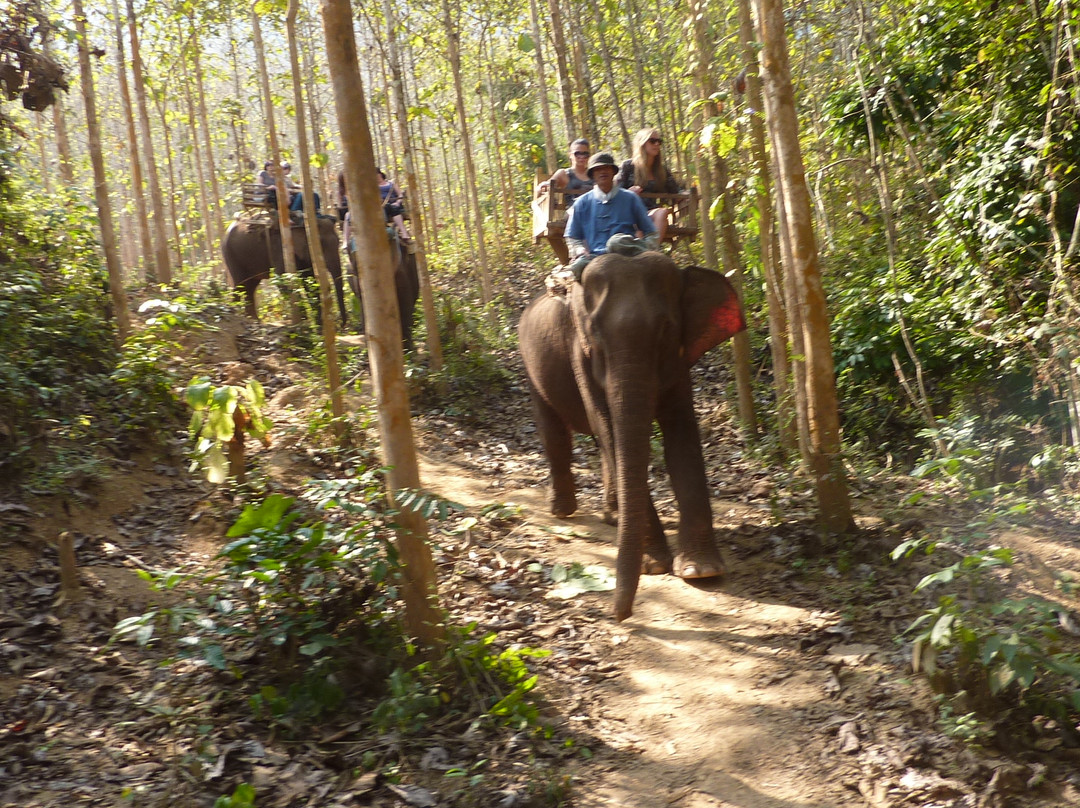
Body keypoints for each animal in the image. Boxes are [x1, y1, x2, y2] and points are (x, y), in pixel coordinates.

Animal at [518, 252, 746, 621]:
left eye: (666, 329)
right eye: (595, 334)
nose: (618, 615)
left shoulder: (680, 359)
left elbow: (682, 436)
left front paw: (701, 571)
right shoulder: (579, 354)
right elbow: (610, 428)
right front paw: (653, 566)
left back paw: (612, 516)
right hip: (531, 366)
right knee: (556, 434)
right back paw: (562, 511)